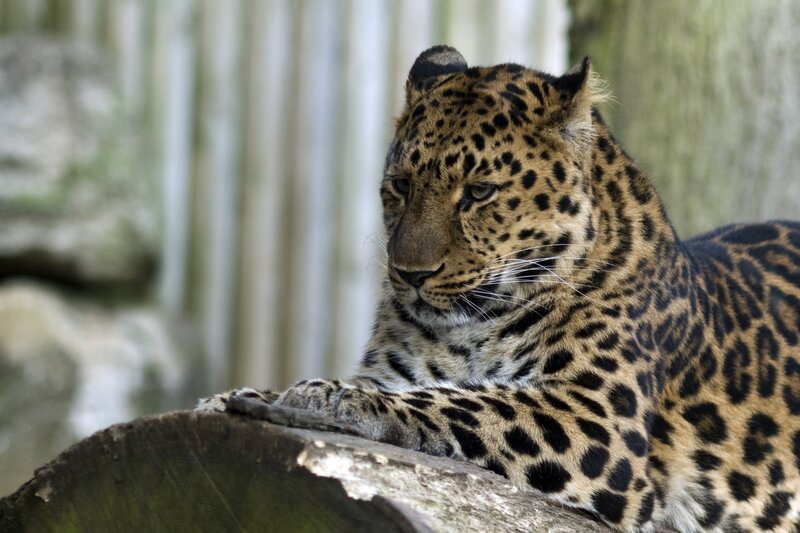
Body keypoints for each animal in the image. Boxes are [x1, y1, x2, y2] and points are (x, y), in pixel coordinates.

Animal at [198, 45, 800, 532]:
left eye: (480, 192)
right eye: (400, 186)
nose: (410, 273)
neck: (471, 326)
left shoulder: (598, 415)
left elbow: (465, 401)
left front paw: (331, 397)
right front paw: (238, 397)